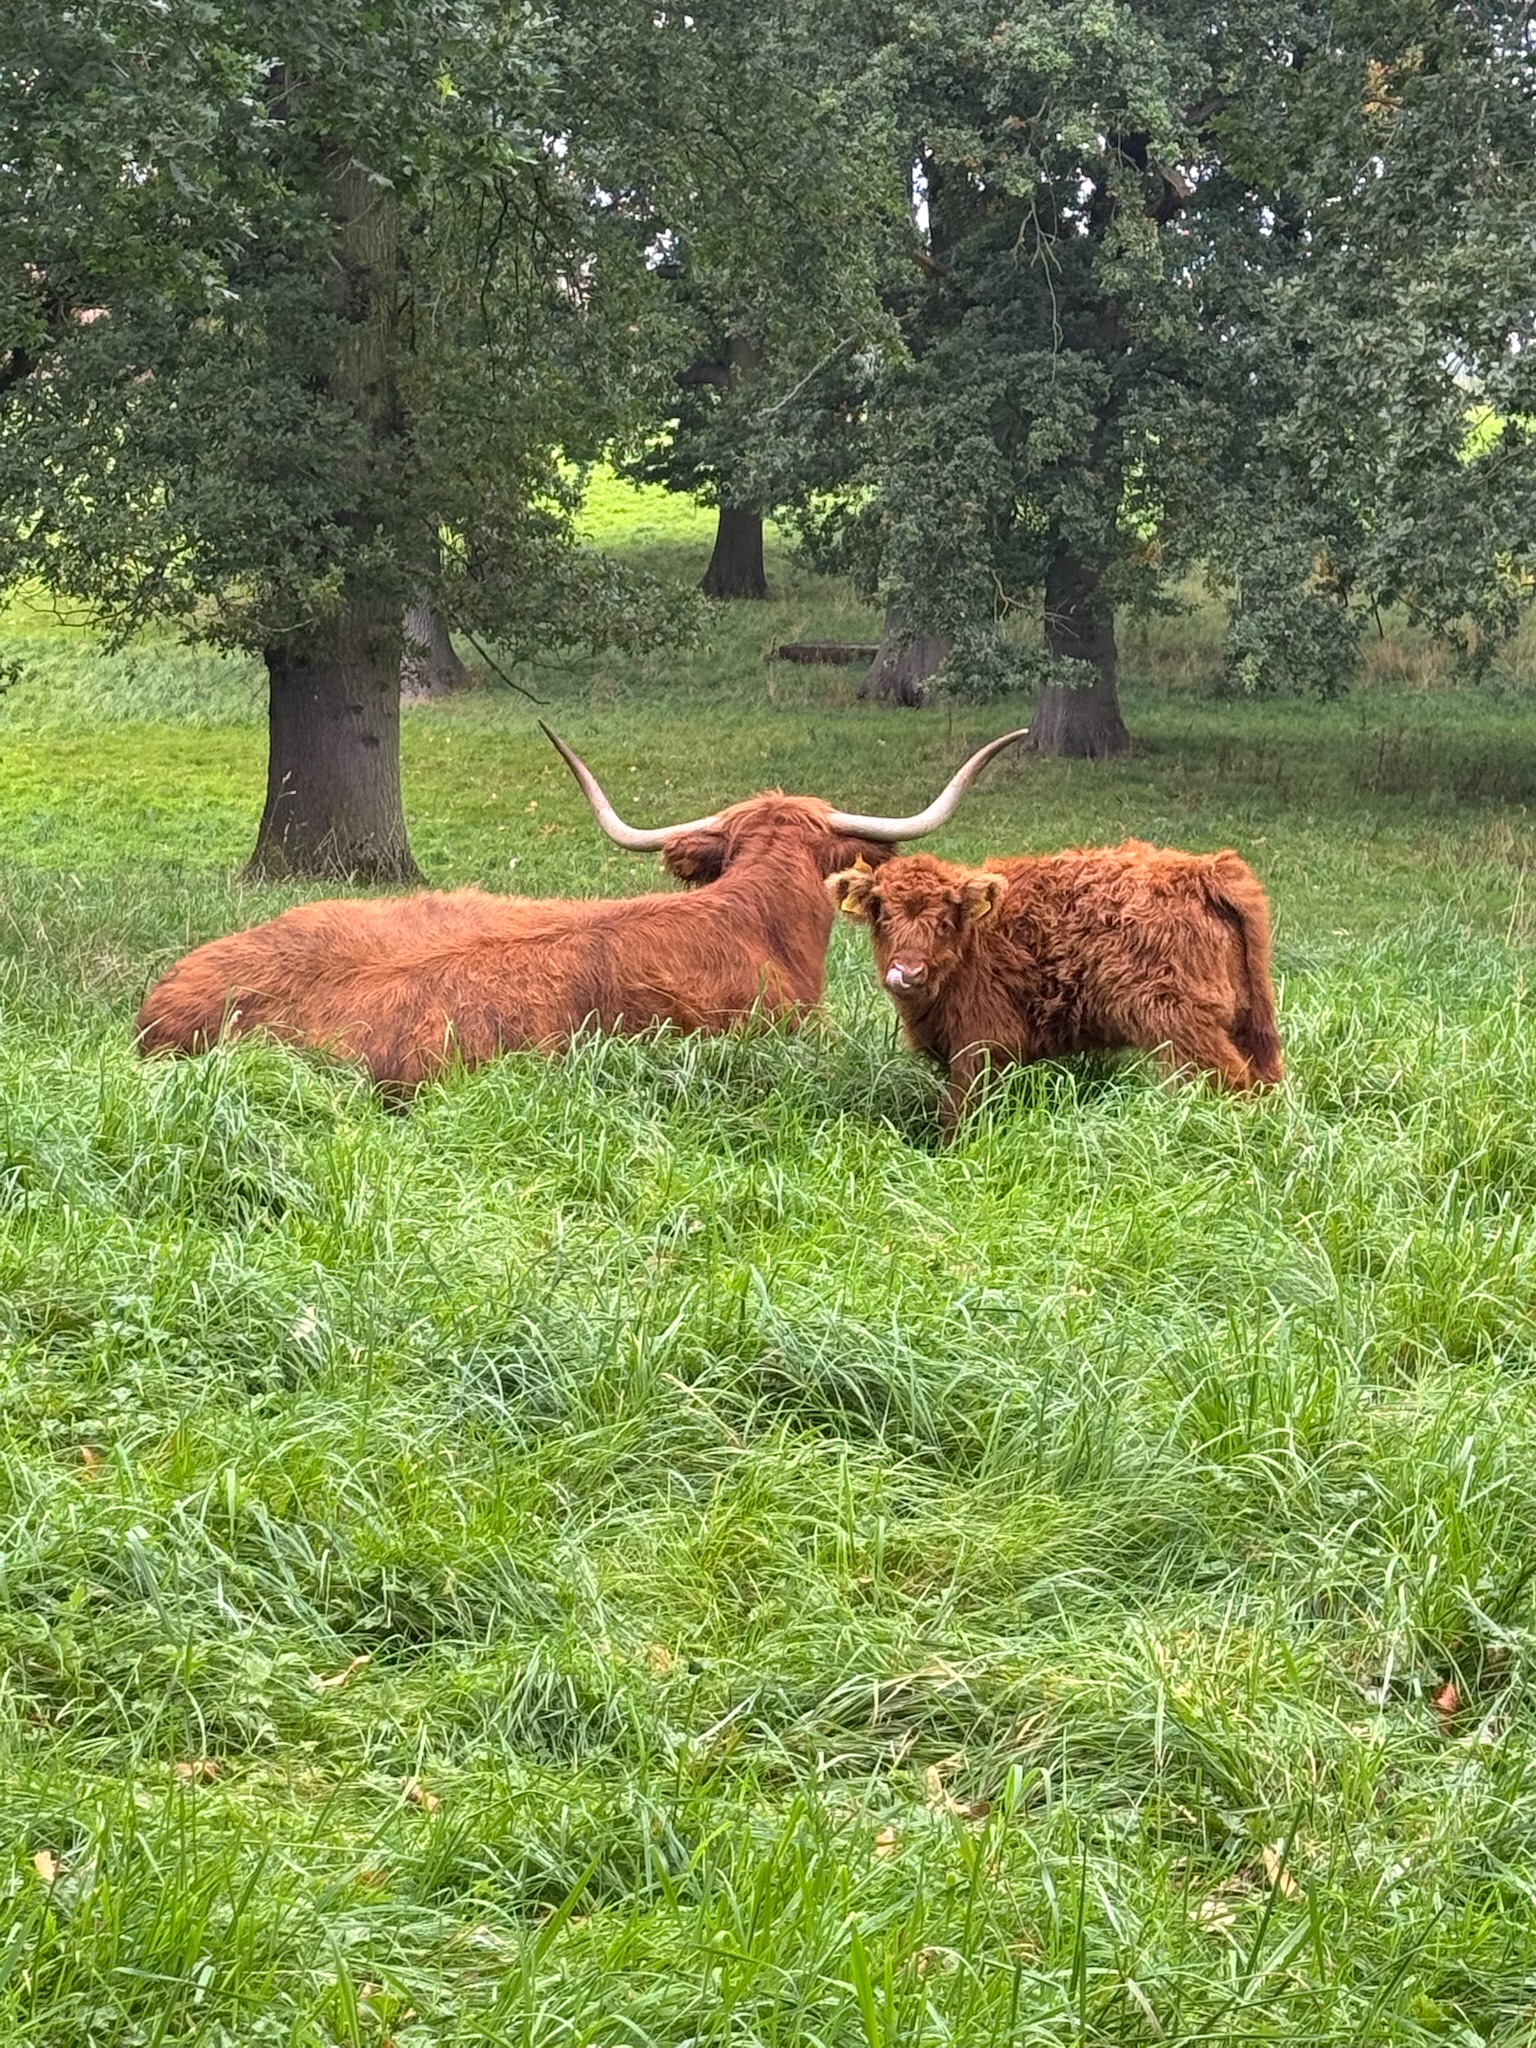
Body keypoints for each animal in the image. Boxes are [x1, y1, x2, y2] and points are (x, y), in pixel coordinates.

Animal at [828, 840, 1283, 1133]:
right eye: (882, 914)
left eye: (943, 920)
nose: (906, 971)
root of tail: (1203, 870)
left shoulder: (982, 1042)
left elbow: (958, 1115)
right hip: (1249, 1020)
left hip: (1181, 1022)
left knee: (1229, 1081)